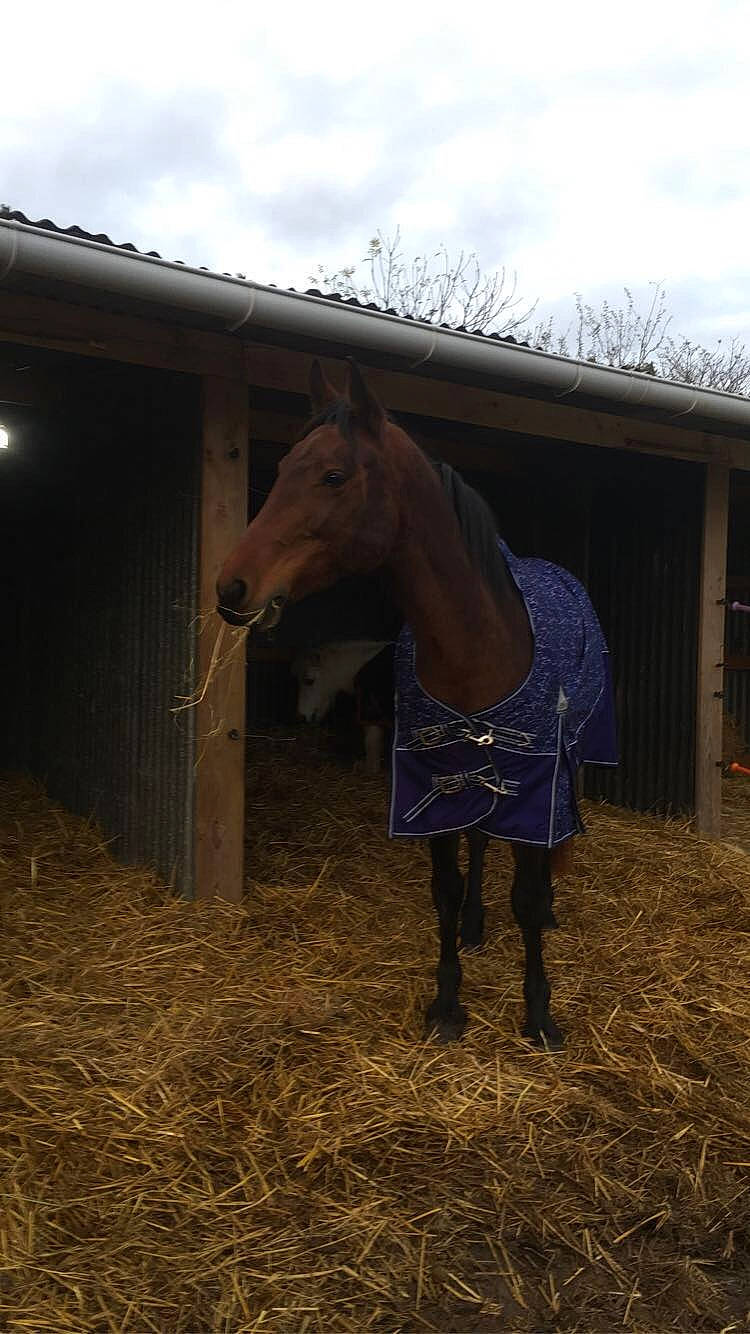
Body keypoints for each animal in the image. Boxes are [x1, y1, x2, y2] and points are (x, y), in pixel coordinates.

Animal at [217, 360, 617, 1046]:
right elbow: (446, 889)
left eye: (333, 475)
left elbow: (528, 896)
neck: (478, 641)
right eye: (285, 465)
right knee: (482, 840)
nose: (232, 588)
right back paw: (479, 925)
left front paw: (539, 1014)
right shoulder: (434, 777)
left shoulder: (536, 778)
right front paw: (447, 1004)